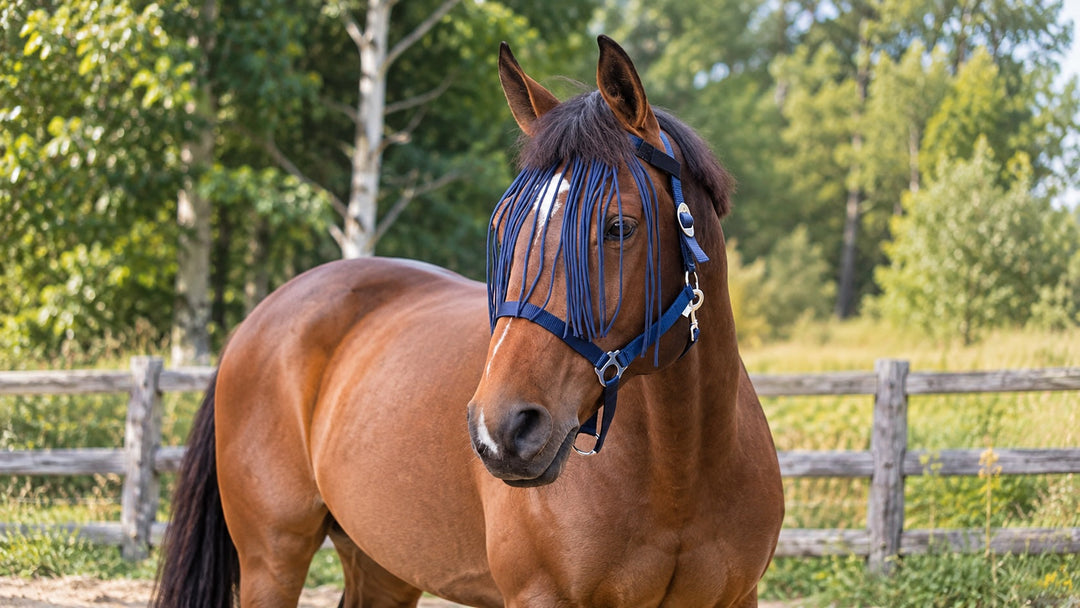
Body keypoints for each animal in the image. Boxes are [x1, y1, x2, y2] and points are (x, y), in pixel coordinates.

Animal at [153, 36, 783, 608]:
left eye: (619, 227)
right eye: (505, 227)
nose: (500, 430)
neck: (680, 468)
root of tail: (259, 319)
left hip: (383, 564)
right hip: (272, 560)